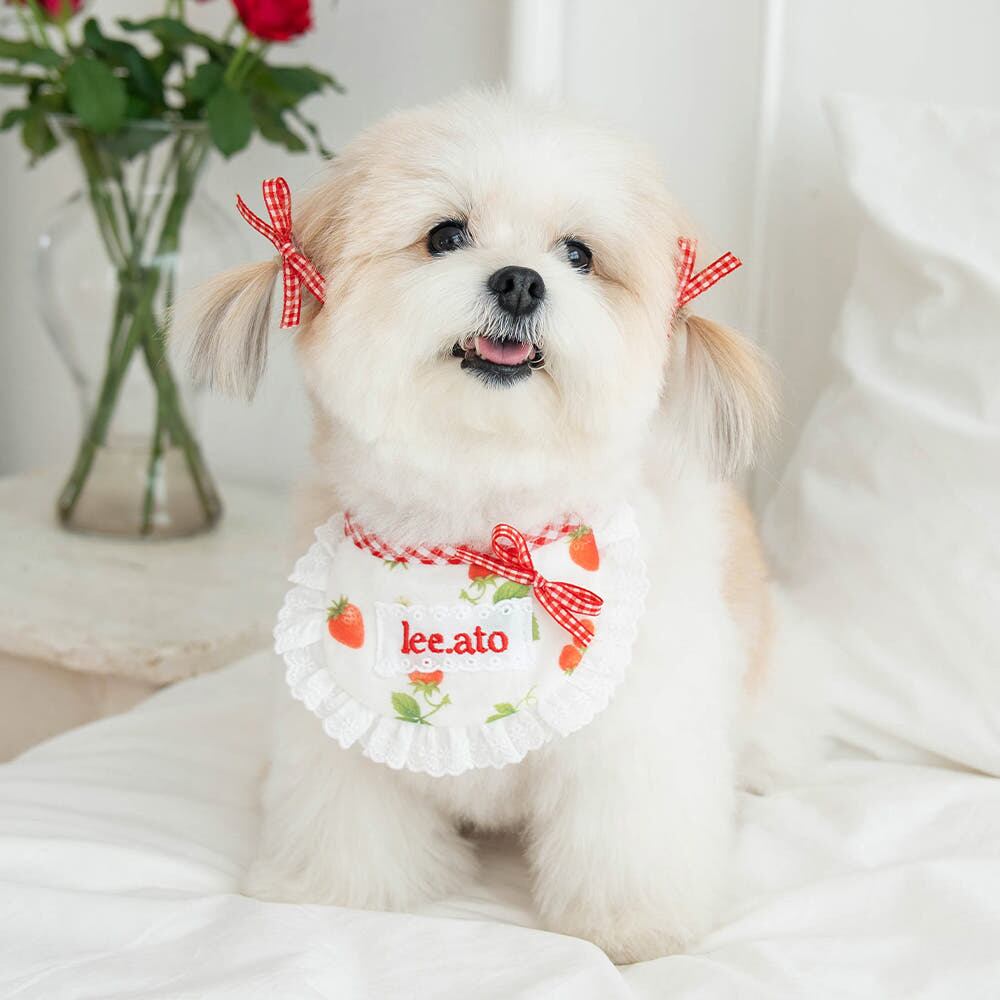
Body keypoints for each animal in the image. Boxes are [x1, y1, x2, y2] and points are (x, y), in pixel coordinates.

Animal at [178, 90, 815, 964]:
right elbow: (348, 816)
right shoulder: (335, 730)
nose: (519, 281)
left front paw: (635, 928)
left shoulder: (637, 737)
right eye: (446, 234)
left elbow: (628, 833)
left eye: (579, 254)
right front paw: (333, 892)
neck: (477, 535)